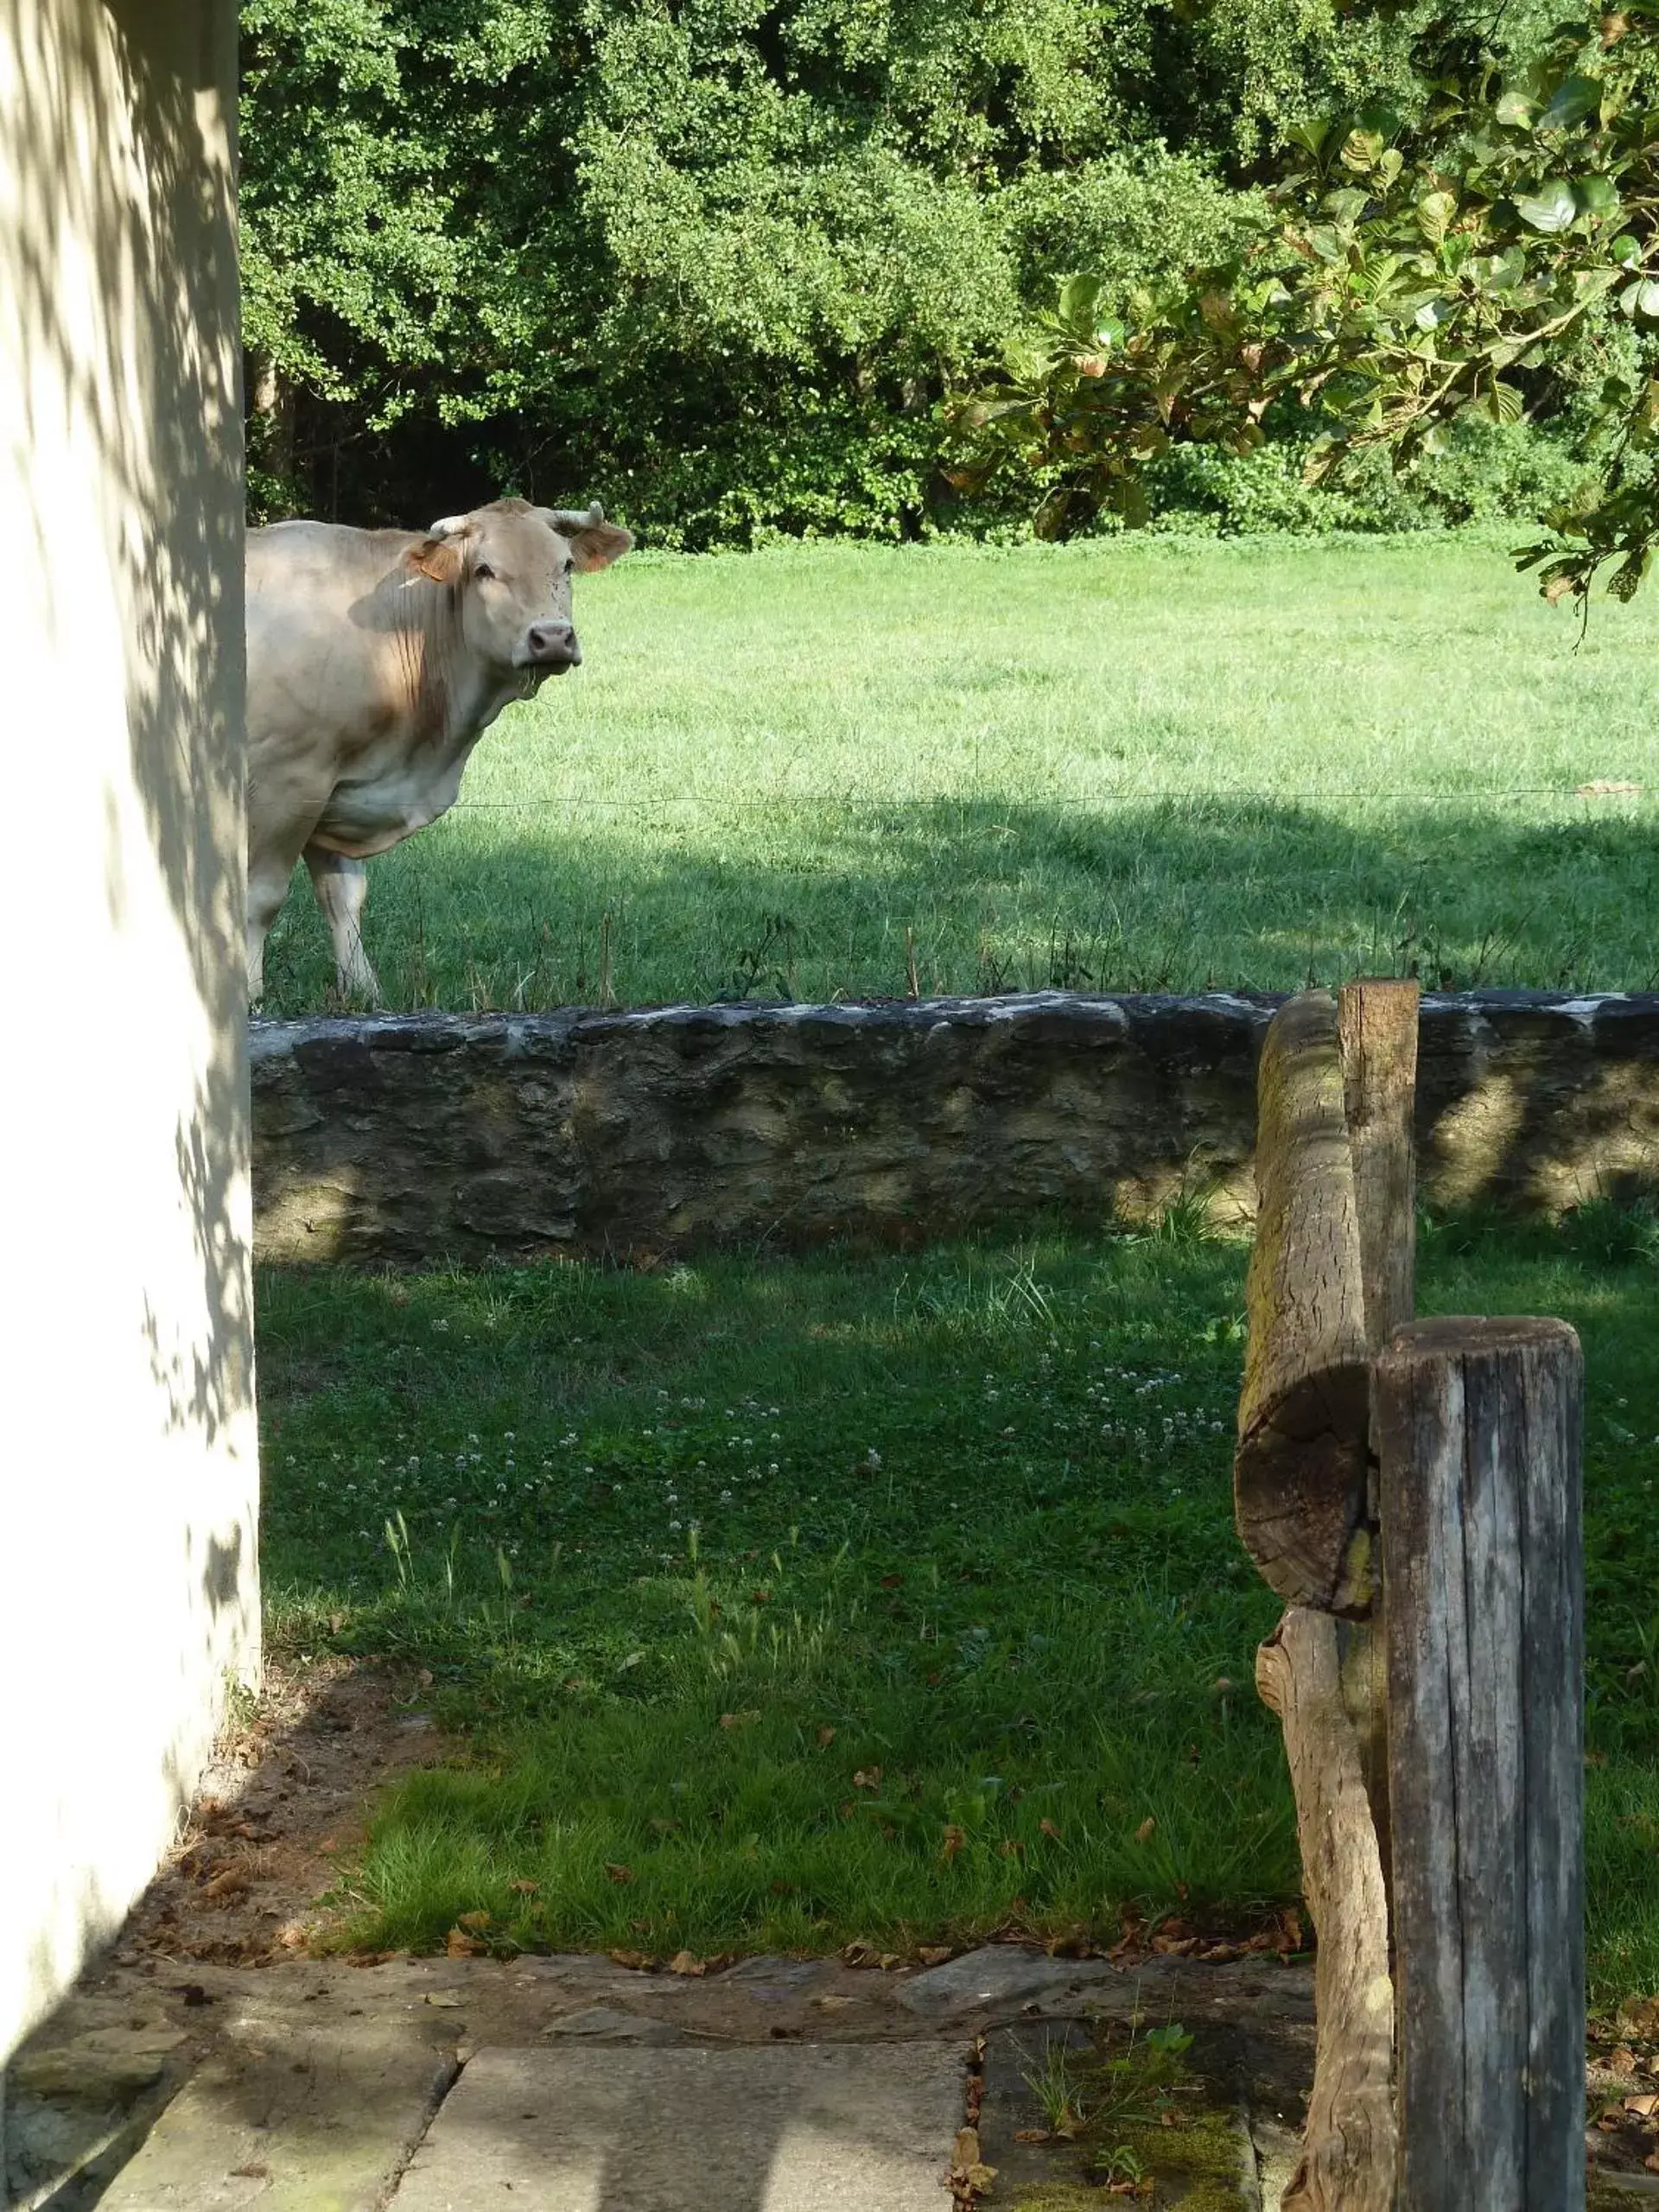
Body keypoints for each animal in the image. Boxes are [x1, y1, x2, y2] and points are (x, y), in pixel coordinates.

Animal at [243, 495, 632, 1004]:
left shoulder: (340, 787)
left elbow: (343, 897)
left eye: (565, 565)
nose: (551, 637)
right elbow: (262, 896)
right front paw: (248, 992)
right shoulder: (288, 778)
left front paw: (365, 991)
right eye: (484, 570)